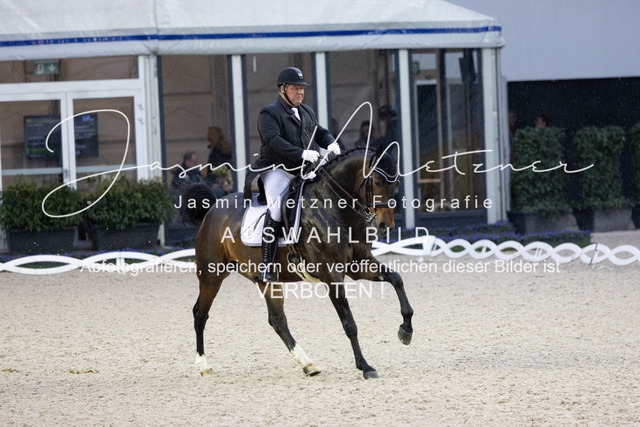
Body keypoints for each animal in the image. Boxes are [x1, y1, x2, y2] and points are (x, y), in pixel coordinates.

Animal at [182, 145, 414, 379]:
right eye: (377, 182)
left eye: (396, 184)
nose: (385, 226)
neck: (333, 208)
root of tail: (213, 208)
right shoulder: (331, 274)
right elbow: (349, 323)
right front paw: (365, 366)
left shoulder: (359, 264)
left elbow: (397, 279)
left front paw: (406, 331)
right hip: (212, 275)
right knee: (200, 314)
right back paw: (203, 366)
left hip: (266, 281)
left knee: (277, 320)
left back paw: (308, 364)